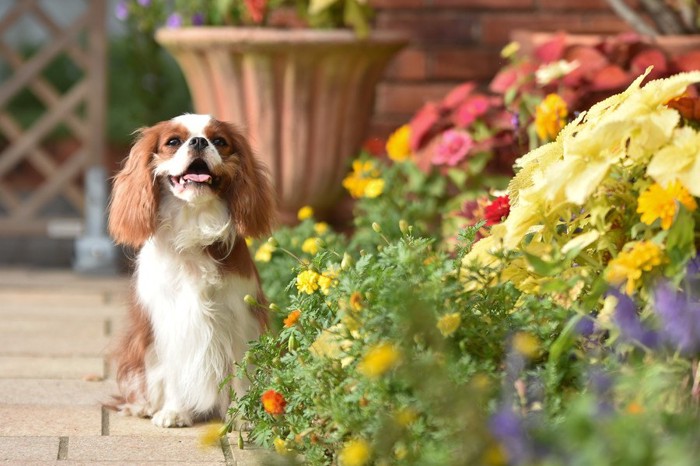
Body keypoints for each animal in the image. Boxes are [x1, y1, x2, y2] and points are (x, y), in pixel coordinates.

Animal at [108, 113, 274, 426]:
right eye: (173, 141)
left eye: (219, 141)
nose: (199, 141)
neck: (195, 221)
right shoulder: (171, 322)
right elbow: (174, 372)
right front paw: (174, 412)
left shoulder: (240, 320)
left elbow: (241, 374)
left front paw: (242, 417)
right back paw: (144, 406)